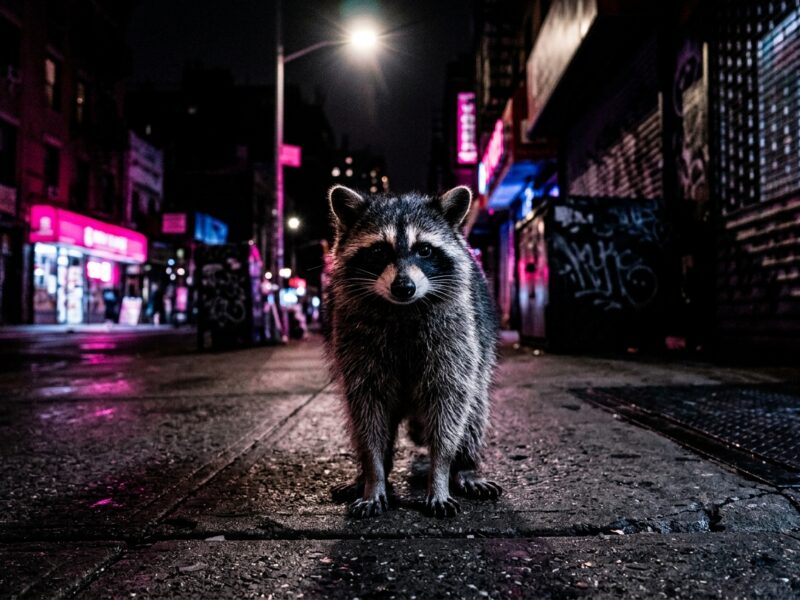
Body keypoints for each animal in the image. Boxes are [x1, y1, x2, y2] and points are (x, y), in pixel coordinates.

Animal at [325, 184, 501, 518]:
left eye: (425, 250)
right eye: (379, 251)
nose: (403, 287)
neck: (402, 309)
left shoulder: (456, 335)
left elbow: (449, 405)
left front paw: (441, 474)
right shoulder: (355, 339)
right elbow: (368, 411)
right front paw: (374, 476)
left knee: (474, 409)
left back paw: (467, 466)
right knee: (357, 420)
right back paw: (363, 476)